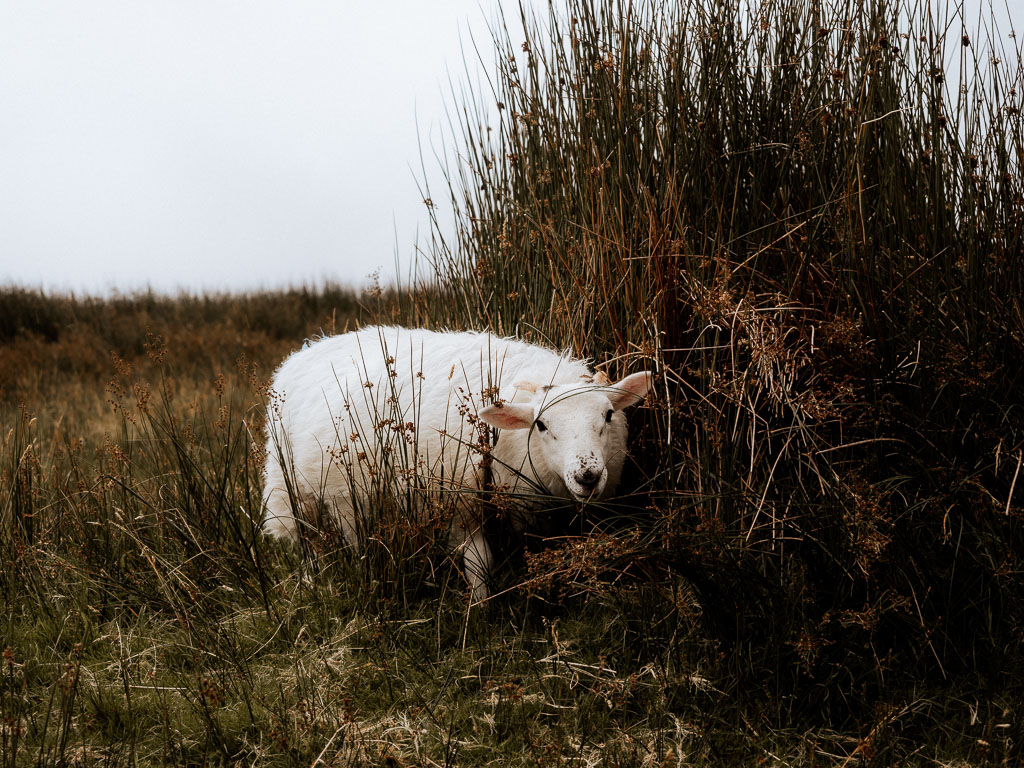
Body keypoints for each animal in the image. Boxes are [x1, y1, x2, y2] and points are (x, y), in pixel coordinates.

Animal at [262, 325, 647, 602]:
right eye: (540, 425)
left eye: (608, 415)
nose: (587, 475)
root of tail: (308, 347)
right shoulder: (459, 504)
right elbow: (479, 566)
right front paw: (480, 613)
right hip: (295, 493)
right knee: (310, 543)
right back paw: (315, 583)